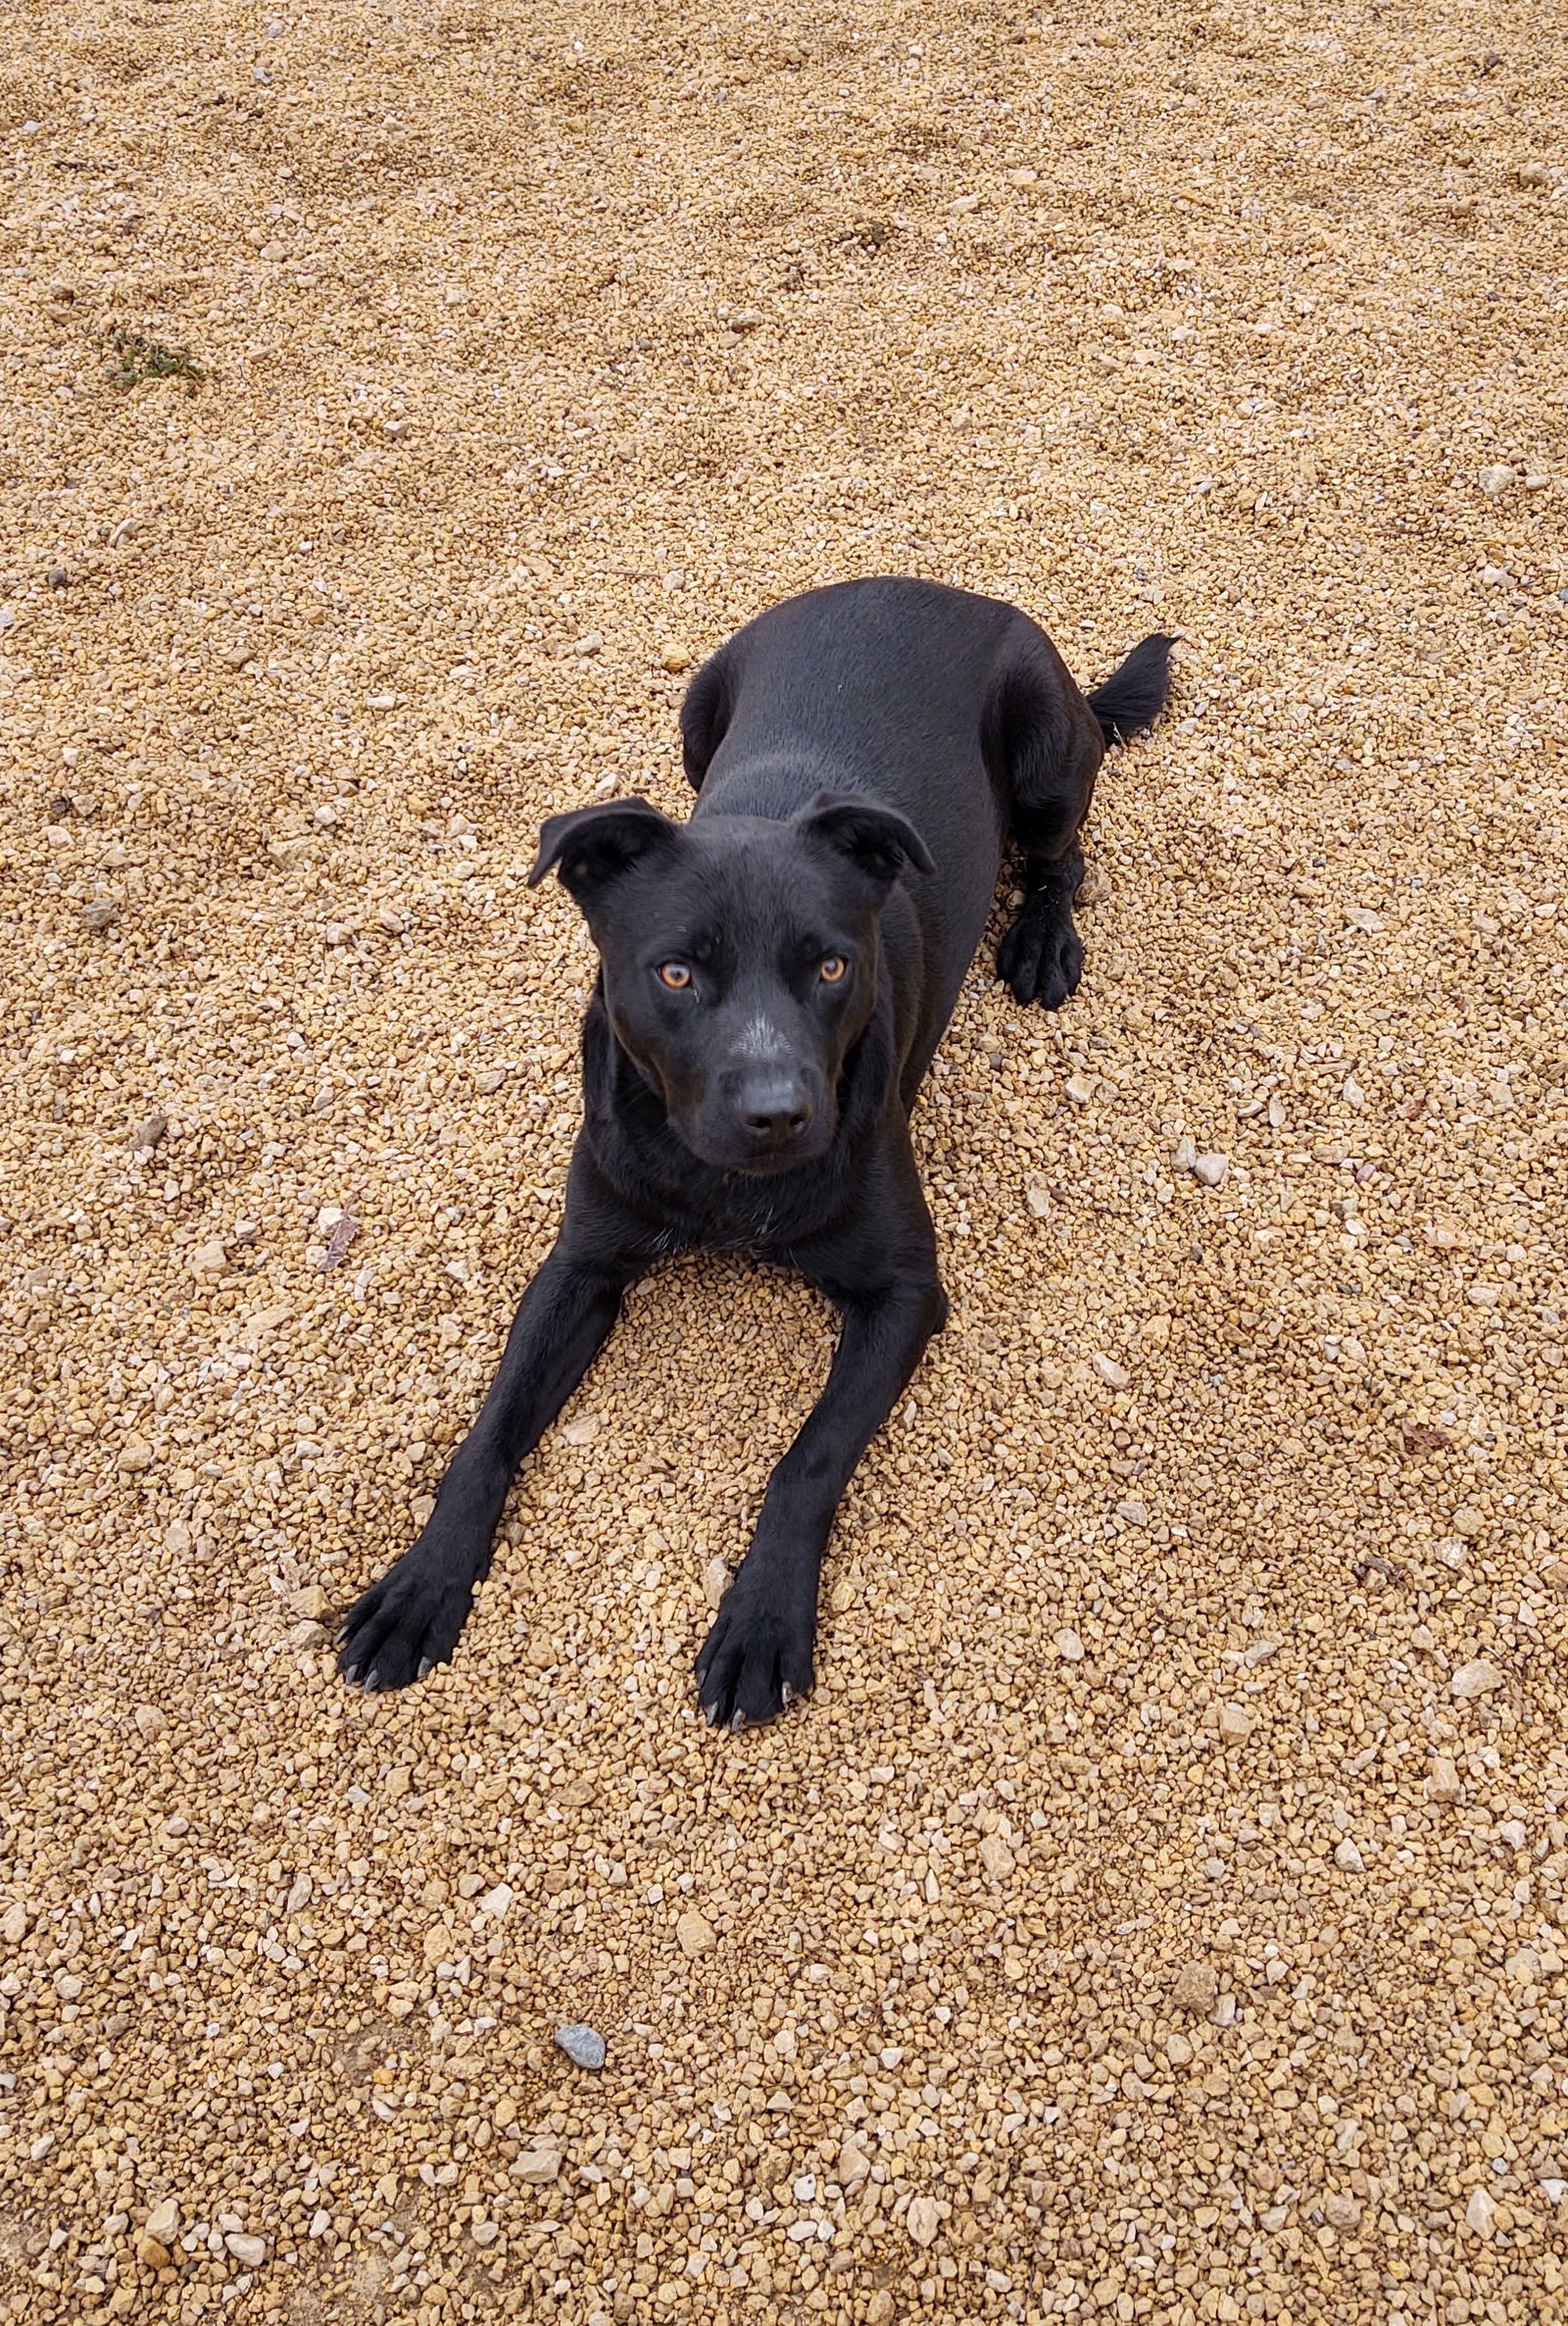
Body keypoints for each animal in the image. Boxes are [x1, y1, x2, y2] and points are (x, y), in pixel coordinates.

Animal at [334, 581, 1158, 1730]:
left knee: (1062, 858)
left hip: (1044, 764)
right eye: (675, 973)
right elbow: (487, 1432)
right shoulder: (580, 1266)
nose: (778, 1113)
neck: (722, 1185)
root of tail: (926, 585)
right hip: (694, 713)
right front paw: (421, 1583)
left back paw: (1042, 939)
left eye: (832, 966)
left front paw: (762, 1622)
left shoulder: (905, 1292)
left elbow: (805, 1459)